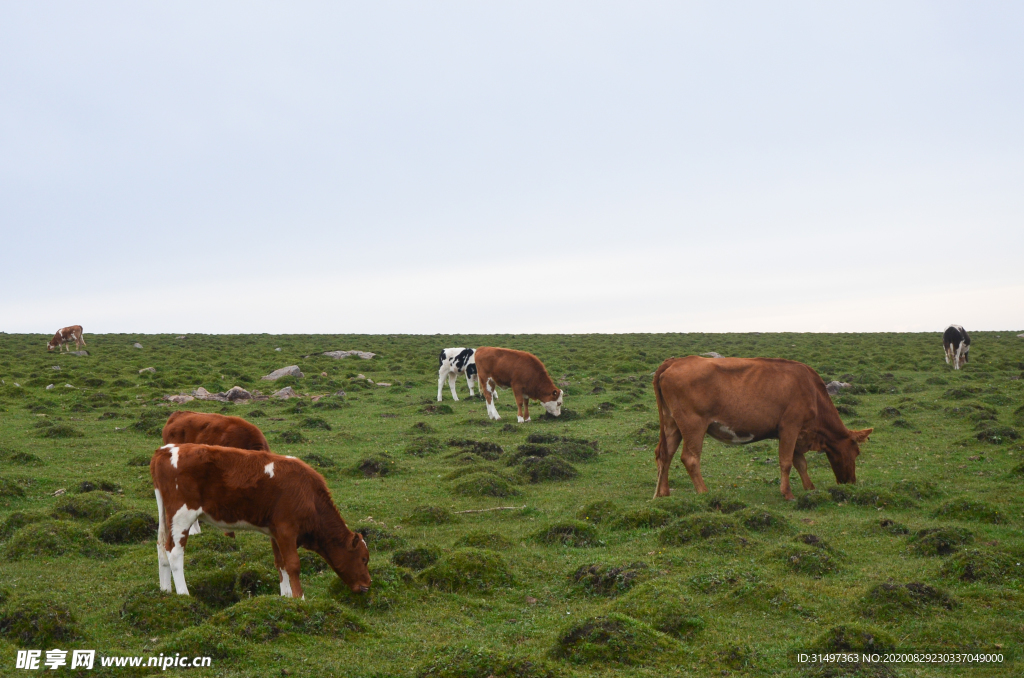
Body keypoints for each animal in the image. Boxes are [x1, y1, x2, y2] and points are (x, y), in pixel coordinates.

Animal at [149, 446, 370, 602]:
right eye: (364, 559)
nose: (369, 583)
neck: (310, 496)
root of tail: (166, 449)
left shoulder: (276, 532)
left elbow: (280, 564)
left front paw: (286, 597)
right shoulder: (287, 530)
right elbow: (293, 565)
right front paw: (300, 598)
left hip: (165, 514)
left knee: (161, 547)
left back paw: (165, 591)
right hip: (182, 514)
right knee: (174, 552)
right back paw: (183, 594)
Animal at [655, 358, 872, 501]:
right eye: (856, 452)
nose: (850, 481)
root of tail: (676, 361)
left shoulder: (795, 433)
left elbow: (800, 463)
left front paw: (810, 487)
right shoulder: (790, 427)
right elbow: (787, 462)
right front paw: (788, 493)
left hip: (672, 424)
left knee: (664, 454)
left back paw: (662, 493)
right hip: (693, 425)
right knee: (690, 458)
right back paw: (704, 492)